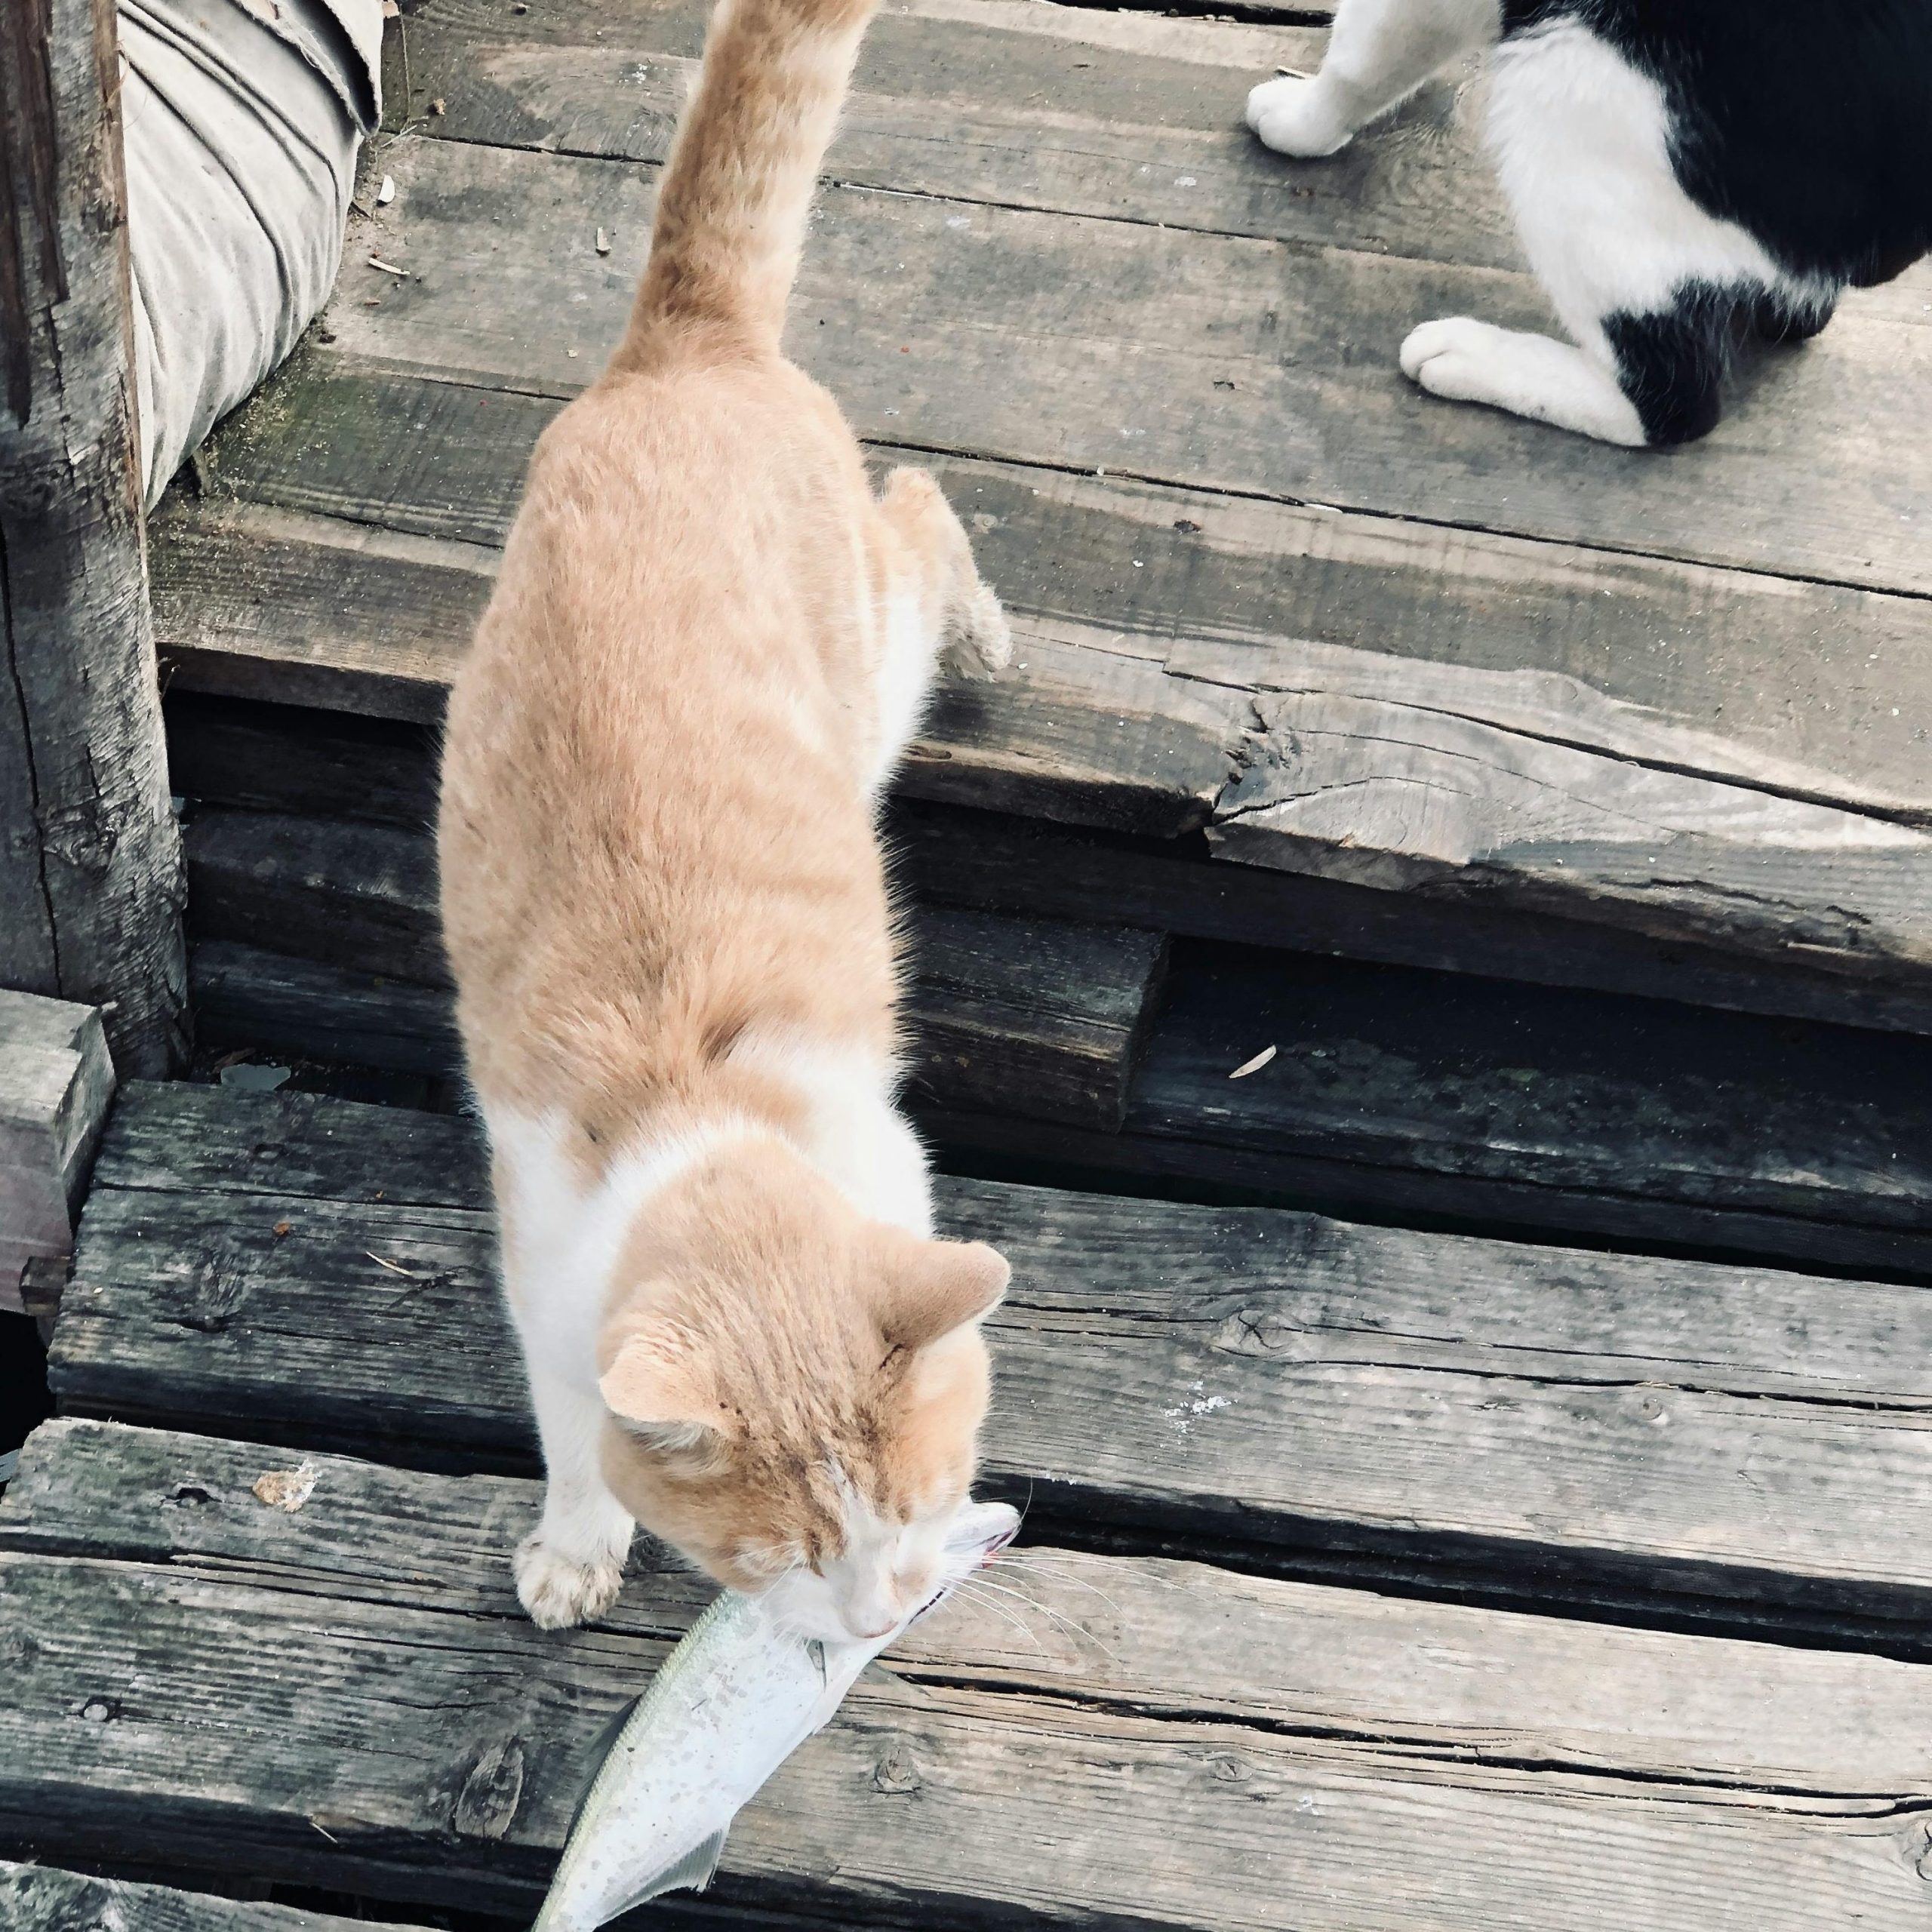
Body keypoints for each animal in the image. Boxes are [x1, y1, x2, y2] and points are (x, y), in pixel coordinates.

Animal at [438, 0, 1012, 1638]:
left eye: (923, 1500)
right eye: (784, 1554)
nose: (879, 1616)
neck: (696, 1104)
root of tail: (681, 347)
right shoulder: (542, 1266)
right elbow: (571, 1430)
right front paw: (576, 1543)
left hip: (872, 657)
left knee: (922, 512)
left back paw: (988, 630)